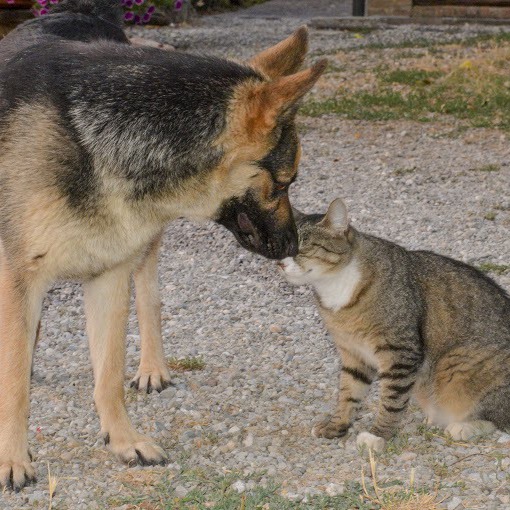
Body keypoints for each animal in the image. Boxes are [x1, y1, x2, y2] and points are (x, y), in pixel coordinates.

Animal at [0, 0, 324, 490]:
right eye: (285, 182)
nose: (291, 245)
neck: (94, 136)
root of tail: (76, 11)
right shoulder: (18, 281)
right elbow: (15, 384)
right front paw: (13, 459)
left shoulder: (109, 277)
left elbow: (108, 376)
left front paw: (123, 441)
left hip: (143, 247)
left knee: (149, 301)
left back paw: (152, 368)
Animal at [278, 198, 510, 450]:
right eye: (280, 249)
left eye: (301, 247)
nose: (280, 264)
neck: (335, 286)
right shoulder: (353, 353)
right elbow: (348, 392)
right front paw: (338, 425)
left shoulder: (400, 352)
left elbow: (391, 400)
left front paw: (378, 434)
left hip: (457, 362)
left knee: (498, 418)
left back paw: (463, 427)